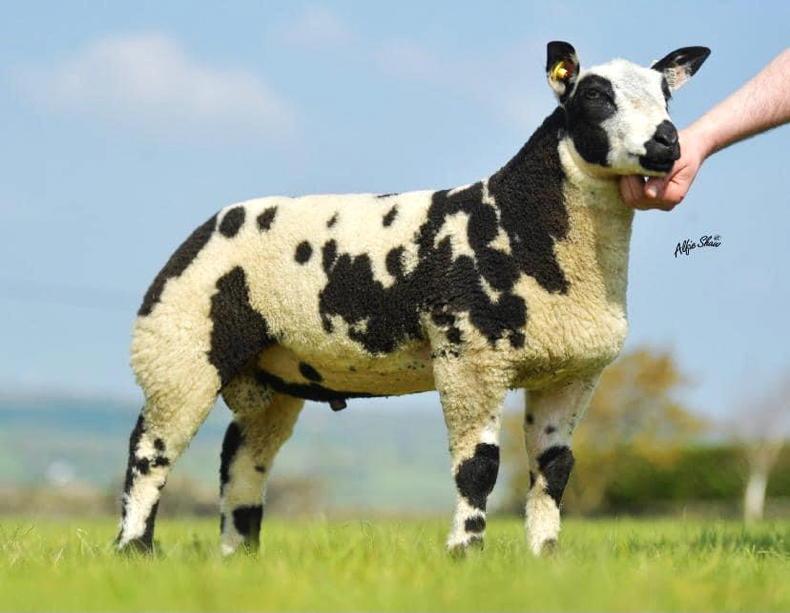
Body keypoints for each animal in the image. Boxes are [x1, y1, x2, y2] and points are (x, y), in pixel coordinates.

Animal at [116, 41, 710, 556]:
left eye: (667, 94)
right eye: (595, 96)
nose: (667, 141)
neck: (520, 221)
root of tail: (203, 231)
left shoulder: (572, 372)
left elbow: (555, 470)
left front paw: (545, 557)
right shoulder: (470, 358)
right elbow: (478, 467)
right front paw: (465, 551)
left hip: (270, 376)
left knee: (241, 462)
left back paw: (240, 555)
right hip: (180, 346)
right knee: (150, 451)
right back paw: (135, 550)